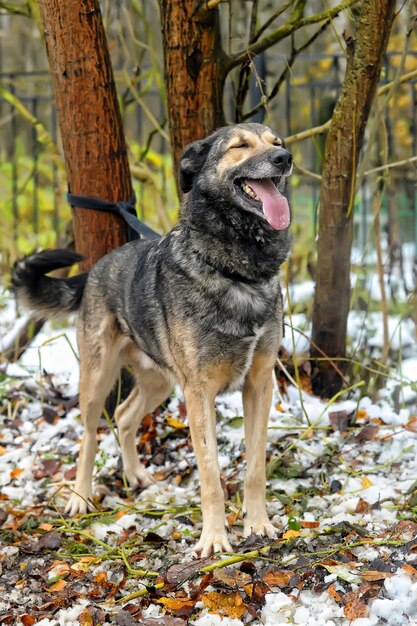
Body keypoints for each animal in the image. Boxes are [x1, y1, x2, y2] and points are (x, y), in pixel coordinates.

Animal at [13, 123, 292, 556]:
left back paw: (137, 476)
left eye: (276, 143)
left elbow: (255, 468)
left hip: (159, 381)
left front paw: (257, 524)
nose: (285, 158)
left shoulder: (260, 383)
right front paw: (214, 539)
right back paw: (80, 496)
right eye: (241, 145)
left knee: (126, 416)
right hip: (98, 378)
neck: (237, 271)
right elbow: (210, 476)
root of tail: (95, 269)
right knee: (90, 434)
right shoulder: (199, 393)